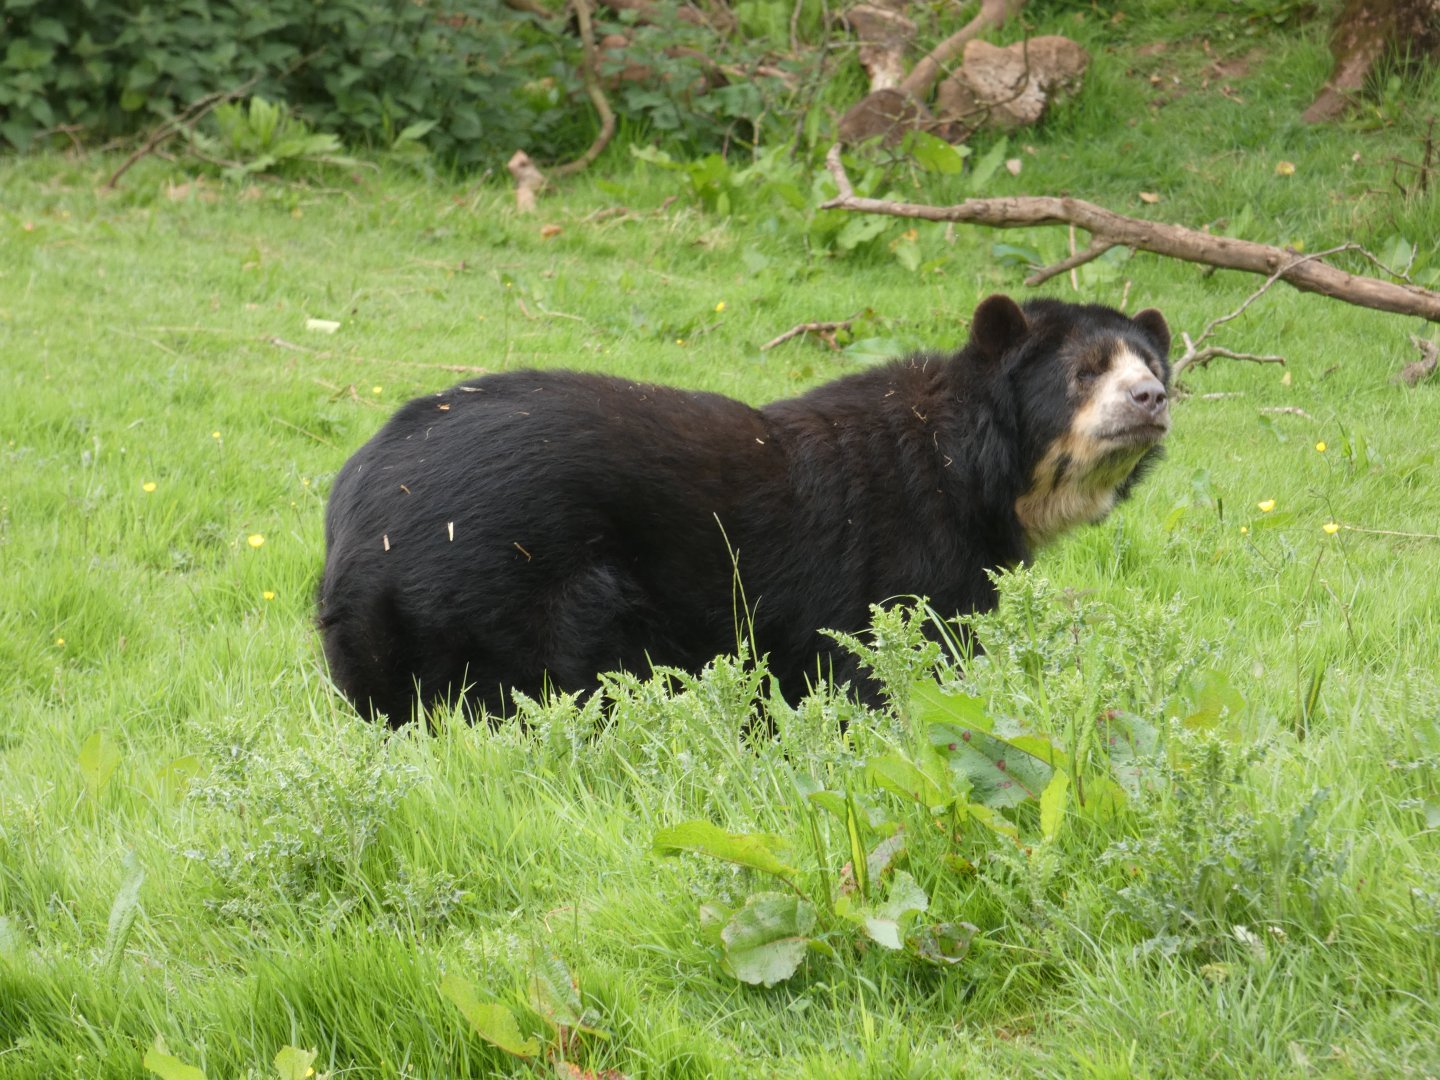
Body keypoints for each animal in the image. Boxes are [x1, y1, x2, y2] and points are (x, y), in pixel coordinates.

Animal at [318, 294, 1171, 726]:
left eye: (1152, 365)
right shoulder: (912, 553)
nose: (1152, 400)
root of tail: (357, 508)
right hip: (509, 584)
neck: (984, 472)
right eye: (1086, 371)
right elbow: (893, 660)